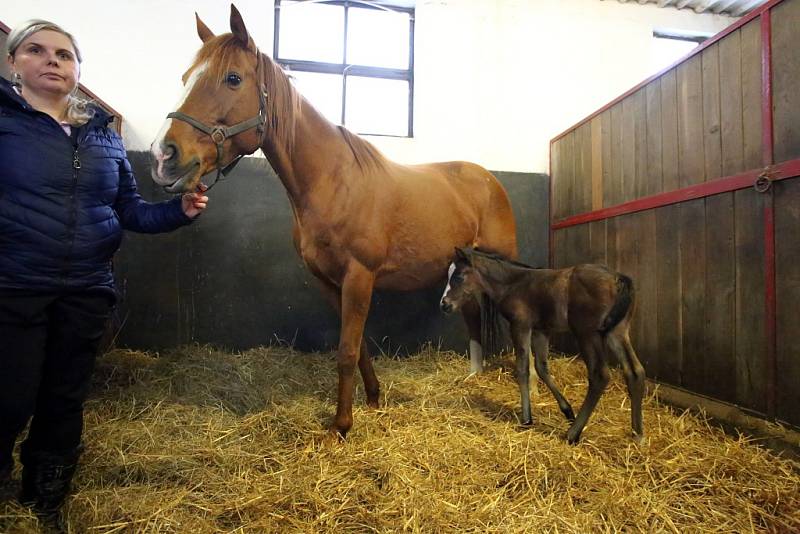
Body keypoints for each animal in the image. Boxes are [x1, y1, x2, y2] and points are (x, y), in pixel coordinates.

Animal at [150, 5, 520, 440]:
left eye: (233, 78)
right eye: (186, 78)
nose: (164, 155)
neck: (332, 182)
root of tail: (489, 179)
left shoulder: (360, 277)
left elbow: (346, 350)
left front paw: (341, 425)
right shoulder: (330, 282)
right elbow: (357, 346)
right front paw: (373, 398)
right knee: (473, 316)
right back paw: (474, 376)